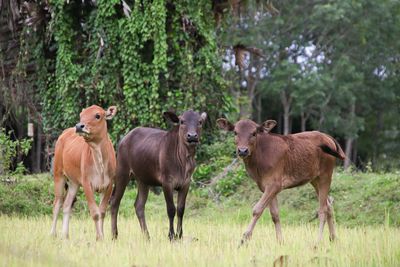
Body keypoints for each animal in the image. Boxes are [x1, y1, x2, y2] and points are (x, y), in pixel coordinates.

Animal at [50, 105, 117, 241]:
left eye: (98, 115)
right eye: (81, 115)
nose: (79, 126)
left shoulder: (109, 185)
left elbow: (102, 211)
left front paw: (102, 236)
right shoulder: (87, 183)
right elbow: (95, 212)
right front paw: (99, 237)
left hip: (74, 183)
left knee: (67, 204)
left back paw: (65, 235)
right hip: (58, 174)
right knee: (57, 203)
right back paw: (53, 234)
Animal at [111, 110, 208, 241]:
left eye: (200, 122)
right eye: (182, 121)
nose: (192, 136)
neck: (183, 160)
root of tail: (124, 139)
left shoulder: (186, 182)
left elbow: (181, 209)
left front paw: (180, 235)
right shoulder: (167, 182)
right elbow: (171, 209)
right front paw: (171, 236)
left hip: (143, 179)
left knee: (139, 205)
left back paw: (147, 236)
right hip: (122, 172)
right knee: (114, 202)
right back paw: (114, 235)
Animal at [217, 118, 346, 246]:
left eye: (254, 133)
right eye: (235, 132)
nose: (243, 150)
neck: (258, 165)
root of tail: (329, 138)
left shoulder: (275, 184)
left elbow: (257, 209)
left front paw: (244, 238)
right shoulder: (265, 186)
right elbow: (275, 214)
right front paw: (280, 241)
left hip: (326, 174)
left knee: (323, 209)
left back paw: (317, 242)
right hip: (315, 179)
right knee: (329, 205)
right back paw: (333, 238)